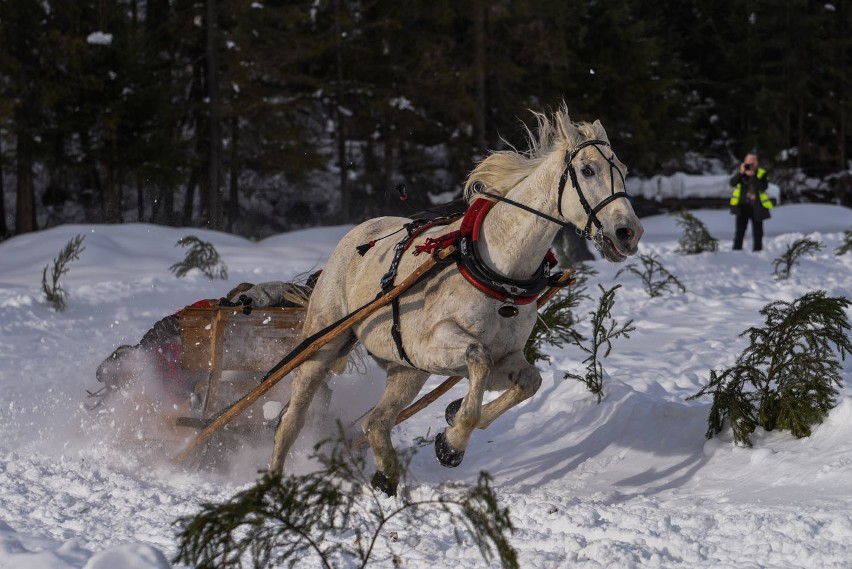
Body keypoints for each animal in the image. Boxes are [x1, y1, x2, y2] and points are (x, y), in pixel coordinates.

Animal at [270, 105, 644, 492]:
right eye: (587, 170)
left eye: (624, 170)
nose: (628, 233)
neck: (500, 274)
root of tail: (353, 237)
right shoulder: (435, 345)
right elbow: (477, 360)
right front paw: (453, 442)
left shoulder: (503, 356)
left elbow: (529, 382)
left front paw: (452, 419)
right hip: (323, 348)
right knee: (291, 421)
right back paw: (273, 483)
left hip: (406, 370)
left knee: (376, 422)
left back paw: (388, 478)